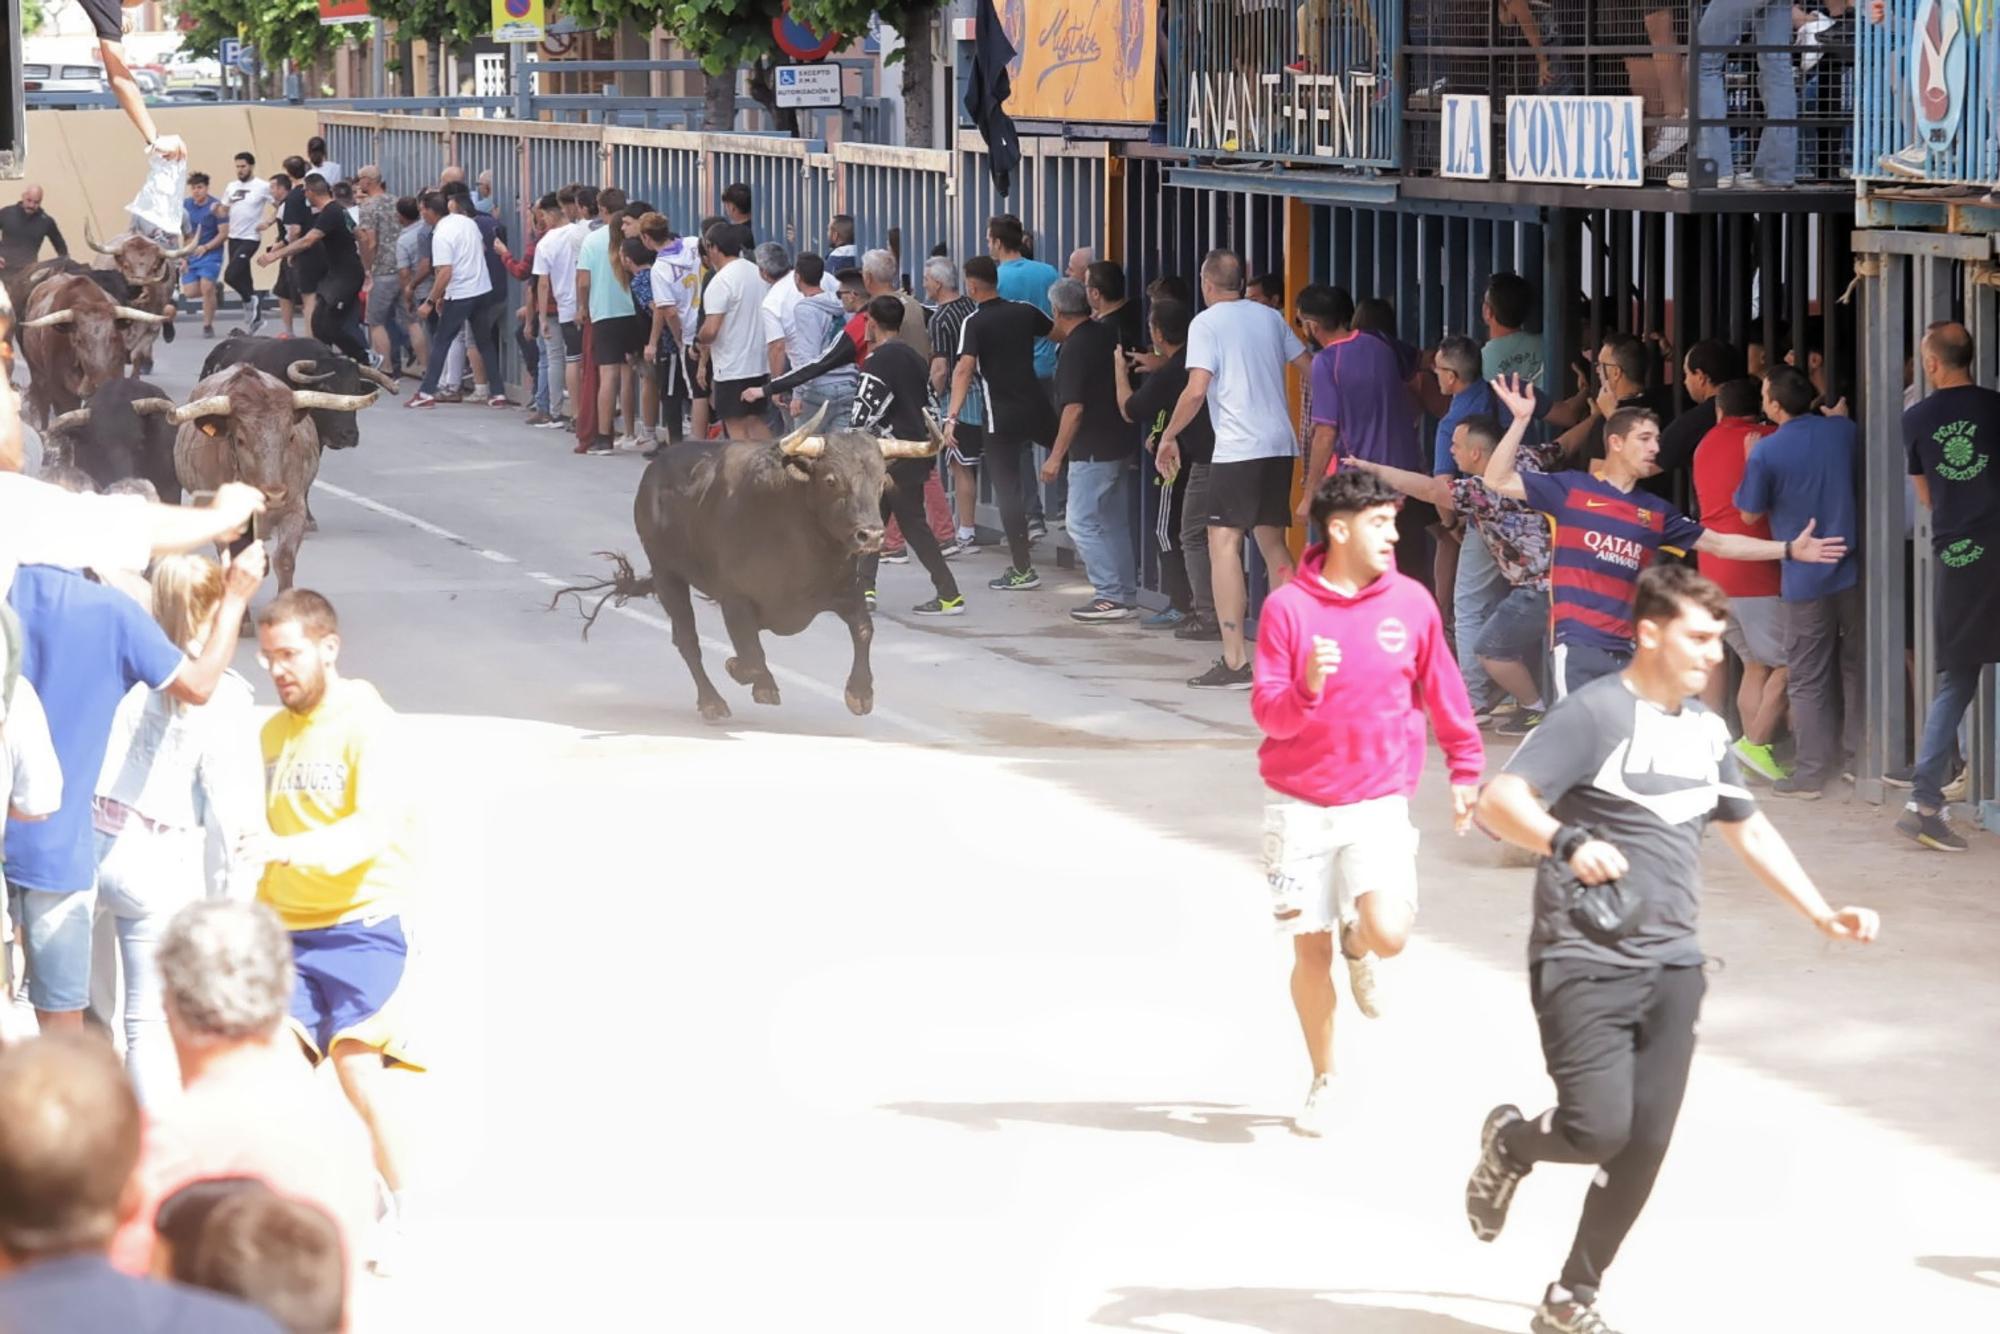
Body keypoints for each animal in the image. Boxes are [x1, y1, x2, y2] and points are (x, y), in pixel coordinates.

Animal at [16, 274, 168, 436]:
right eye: (79, 340)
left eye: (114, 337)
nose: (100, 383)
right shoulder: (60, 391)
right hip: (38, 375)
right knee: (42, 404)